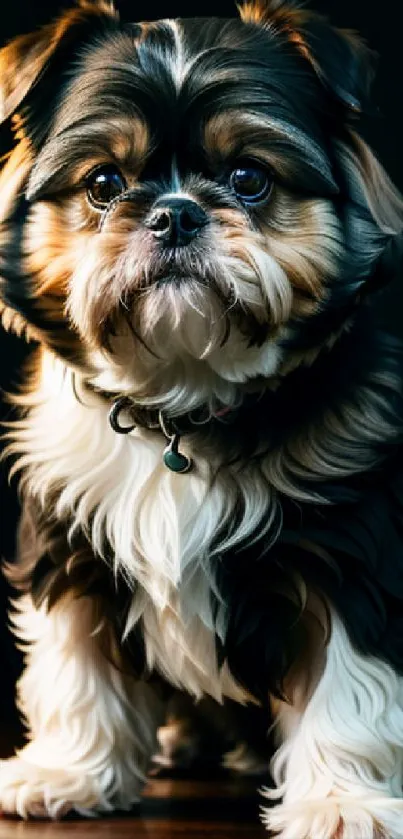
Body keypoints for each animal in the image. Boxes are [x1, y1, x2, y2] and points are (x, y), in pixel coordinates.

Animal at [0, 0, 403, 832]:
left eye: (249, 179)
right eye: (103, 183)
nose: (175, 215)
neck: (183, 406)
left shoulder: (348, 555)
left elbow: (345, 683)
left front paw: (340, 800)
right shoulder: (68, 539)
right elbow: (74, 663)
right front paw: (68, 770)